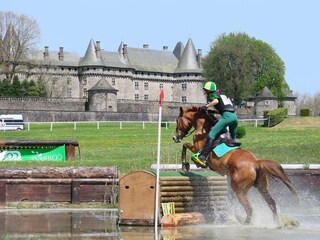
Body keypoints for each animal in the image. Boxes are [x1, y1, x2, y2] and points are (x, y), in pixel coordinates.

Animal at [172, 106, 300, 224]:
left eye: (178, 121)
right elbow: (185, 145)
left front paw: (185, 164)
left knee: (249, 208)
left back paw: (245, 224)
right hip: (261, 186)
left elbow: (185, 145)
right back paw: (277, 223)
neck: (203, 128)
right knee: (271, 203)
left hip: (239, 189)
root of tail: (255, 163)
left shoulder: (196, 147)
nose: (175, 137)